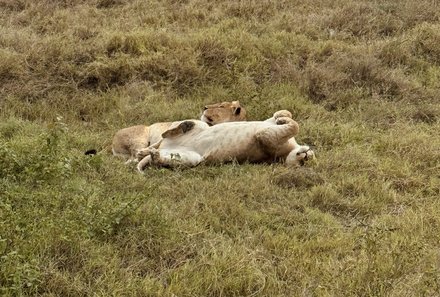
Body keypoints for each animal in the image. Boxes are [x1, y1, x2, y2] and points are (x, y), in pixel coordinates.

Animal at [136, 109, 314, 170]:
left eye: (303, 163)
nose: (307, 155)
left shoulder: (264, 136)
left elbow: (295, 126)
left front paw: (284, 120)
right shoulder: (266, 124)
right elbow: (287, 114)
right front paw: (281, 117)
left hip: (192, 158)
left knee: (161, 154)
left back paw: (153, 154)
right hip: (201, 126)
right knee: (162, 138)